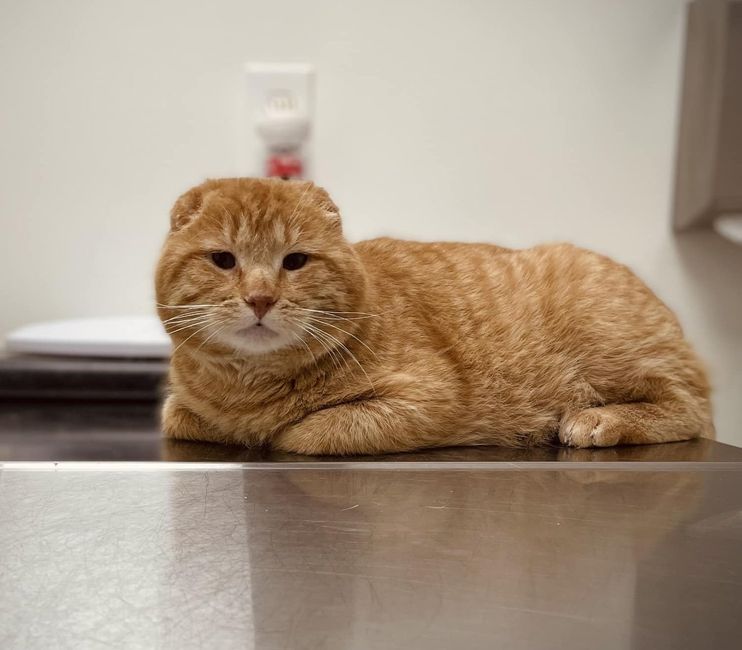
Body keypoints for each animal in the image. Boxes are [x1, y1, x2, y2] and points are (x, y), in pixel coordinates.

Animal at [155, 175, 716, 454]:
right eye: (223, 260)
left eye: (294, 262)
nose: (260, 298)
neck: (247, 390)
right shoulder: (180, 413)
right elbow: (182, 419)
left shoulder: (427, 398)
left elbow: (306, 433)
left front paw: (278, 431)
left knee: (690, 408)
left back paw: (596, 419)